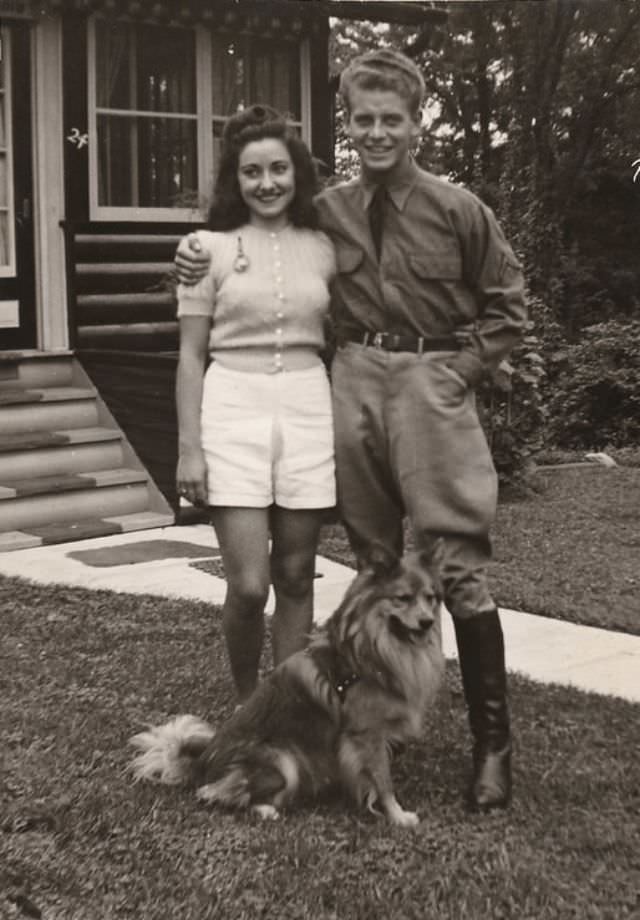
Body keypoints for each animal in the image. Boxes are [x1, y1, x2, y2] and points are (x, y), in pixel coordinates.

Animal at [130, 544, 444, 832]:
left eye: (430, 598)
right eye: (402, 598)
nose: (427, 622)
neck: (369, 648)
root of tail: (202, 764)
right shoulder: (366, 735)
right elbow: (383, 782)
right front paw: (398, 816)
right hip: (283, 760)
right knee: (217, 793)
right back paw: (265, 808)